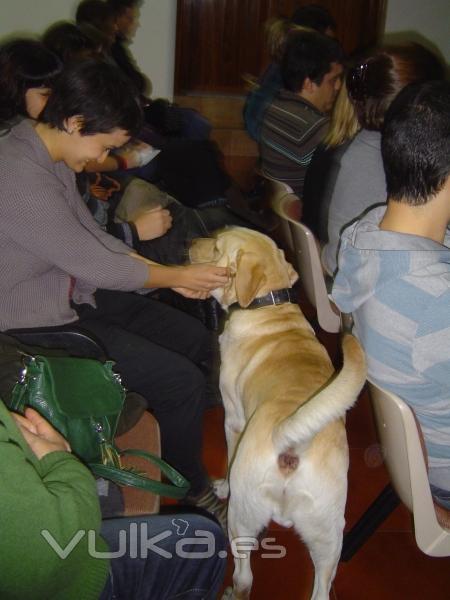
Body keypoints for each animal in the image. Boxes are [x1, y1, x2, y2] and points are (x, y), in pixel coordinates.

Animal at [190, 227, 366, 596]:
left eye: (215, 246)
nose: (188, 244)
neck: (269, 304)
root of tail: (291, 443)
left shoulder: (233, 418)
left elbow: (227, 458)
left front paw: (222, 485)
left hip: (242, 517)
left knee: (244, 576)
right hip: (329, 534)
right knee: (321, 589)